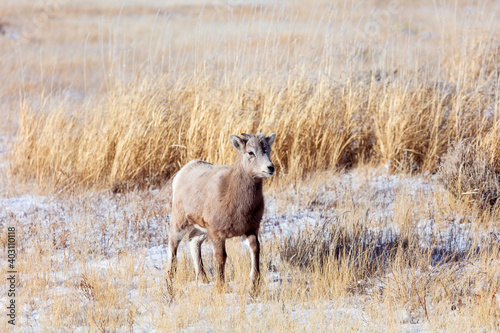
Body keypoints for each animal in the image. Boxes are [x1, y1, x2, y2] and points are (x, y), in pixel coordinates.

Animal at [168, 132, 278, 288]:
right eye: (250, 152)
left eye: (267, 150)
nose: (270, 167)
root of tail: (182, 172)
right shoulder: (217, 234)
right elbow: (221, 257)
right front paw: (221, 284)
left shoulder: (251, 229)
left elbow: (255, 249)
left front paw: (254, 282)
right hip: (180, 222)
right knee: (173, 244)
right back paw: (170, 278)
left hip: (201, 229)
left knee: (193, 240)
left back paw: (203, 279)